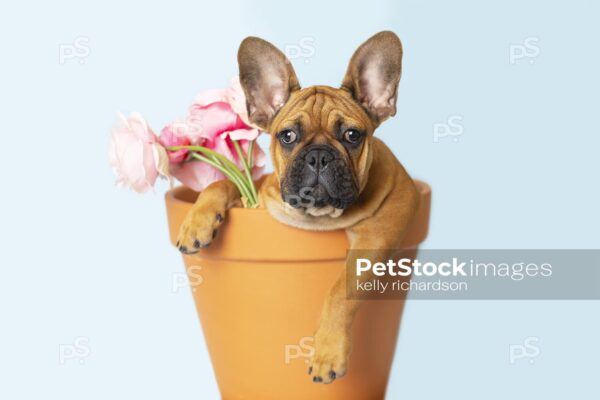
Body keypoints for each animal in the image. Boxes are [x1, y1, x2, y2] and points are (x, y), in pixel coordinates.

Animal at [177, 32, 418, 384]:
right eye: (287, 136)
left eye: (352, 135)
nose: (318, 155)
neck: (317, 215)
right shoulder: (259, 193)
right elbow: (221, 184)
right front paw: (197, 221)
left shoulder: (376, 238)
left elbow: (340, 289)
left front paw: (327, 351)